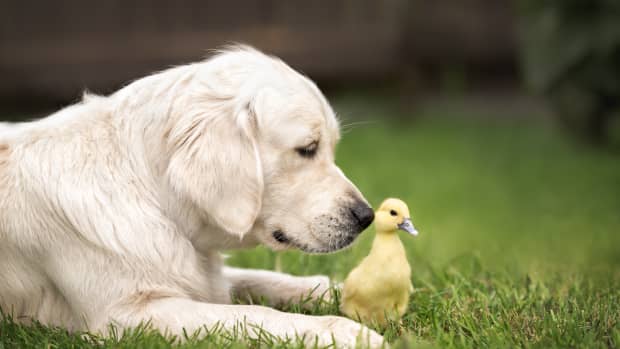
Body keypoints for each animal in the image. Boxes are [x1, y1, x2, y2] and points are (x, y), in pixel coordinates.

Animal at [0, 45, 382, 346]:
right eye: (307, 149)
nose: (367, 217)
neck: (152, 197)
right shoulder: (127, 315)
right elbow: (257, 314)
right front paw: (347, 332)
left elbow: (264, 280)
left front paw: (346, 291)